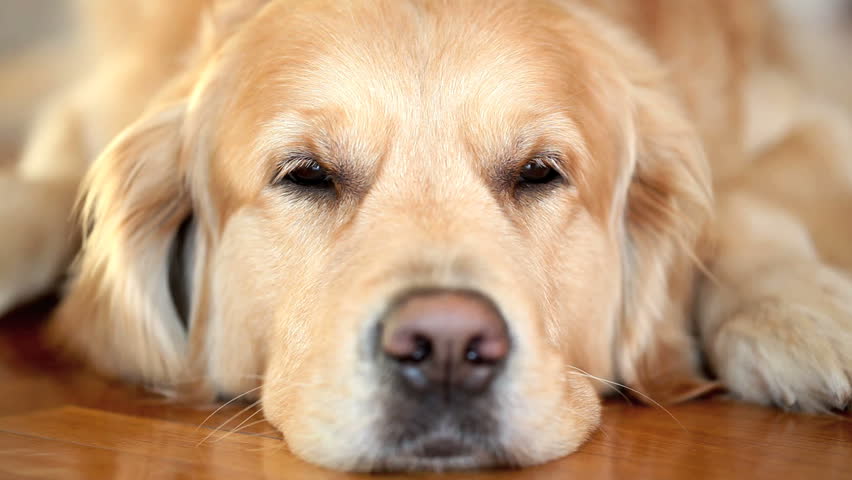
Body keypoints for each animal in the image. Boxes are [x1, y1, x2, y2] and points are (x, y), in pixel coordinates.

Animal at [0, 0, 848, 472]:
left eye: (538, 172)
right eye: (306, 174)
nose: (445, 345)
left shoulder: (810, 115)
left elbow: (745, 195)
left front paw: (799, 312)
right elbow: (44, 190)